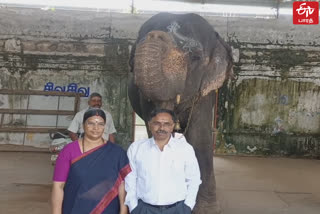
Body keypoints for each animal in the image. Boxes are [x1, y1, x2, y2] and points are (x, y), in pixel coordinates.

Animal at [127, 12, 232, 213]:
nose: (155, 35)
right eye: (134, 56)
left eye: (196, 57)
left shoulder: (204, 92)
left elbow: (199, 136)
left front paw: (206, 209)